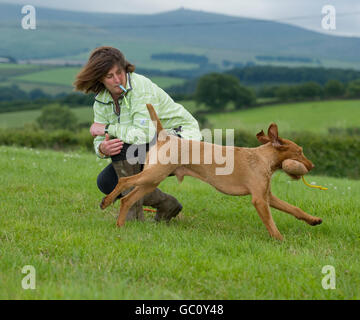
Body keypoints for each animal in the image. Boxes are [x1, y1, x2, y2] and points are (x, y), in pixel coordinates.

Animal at [100, 104, 322, 240]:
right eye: (300, 151)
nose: (311, 166)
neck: (262, 158)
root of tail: (165, 136)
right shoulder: (259, 200)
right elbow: (270, 222)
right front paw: (280, 239)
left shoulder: (268, 196)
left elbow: (294, 209)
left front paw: (313, 220)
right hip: (153, 175)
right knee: (124, 182)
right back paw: (107, 202)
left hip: (151, 181)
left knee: (127, 199)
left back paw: (120, 224)